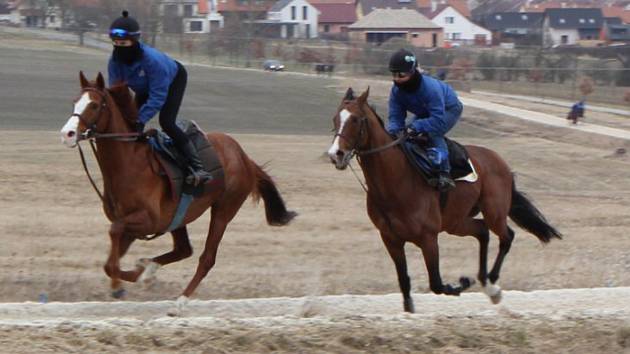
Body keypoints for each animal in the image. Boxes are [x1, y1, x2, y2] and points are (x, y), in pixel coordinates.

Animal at [59, 71, 296, 312]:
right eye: (74, 102)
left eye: (95, 105)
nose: (67, 133)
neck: (129, 164)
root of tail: (245, 157)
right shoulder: (134, 225)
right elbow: (110, 261)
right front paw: (139, 275)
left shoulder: (148, 220)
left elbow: (114, 234)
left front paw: (123, 283)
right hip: (179, 217)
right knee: (184, 249)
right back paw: (150, 269)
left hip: (224, 210)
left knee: (207, 257)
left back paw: (180, 301)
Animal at [328, 88, 564, 312]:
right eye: (335, 118)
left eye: (355, 119)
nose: (335, 154)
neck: (395, 182)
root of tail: (502, 164)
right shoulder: (390, 239)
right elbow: (404, 281)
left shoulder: (429, 237)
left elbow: (437, 284)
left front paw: (463, 283)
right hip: (455, 222)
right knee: (482, 232)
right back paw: (484, 280)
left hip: (494, 212)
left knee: (506, 236)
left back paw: (492, 287)